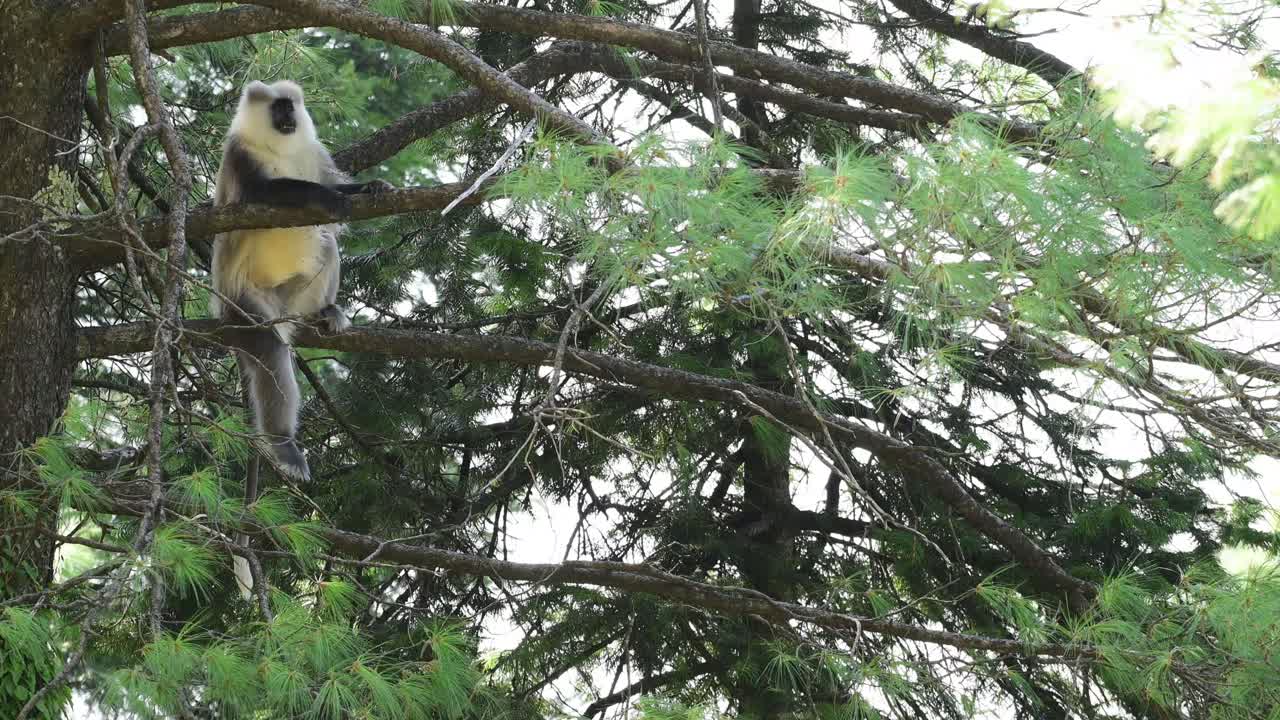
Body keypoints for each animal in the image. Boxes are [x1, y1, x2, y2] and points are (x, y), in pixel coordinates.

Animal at [210, 80, 391, 598]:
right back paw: (284, 445)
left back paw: (324, 314)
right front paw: (328, 199)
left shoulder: (312, 152)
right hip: (247, 308)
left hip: (292, 295)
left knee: (327, 245)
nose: (289, 117)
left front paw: (367, 187)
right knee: (271, 355)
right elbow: (266, 193)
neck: (281, 147)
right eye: (278, 108)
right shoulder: (240, 158)